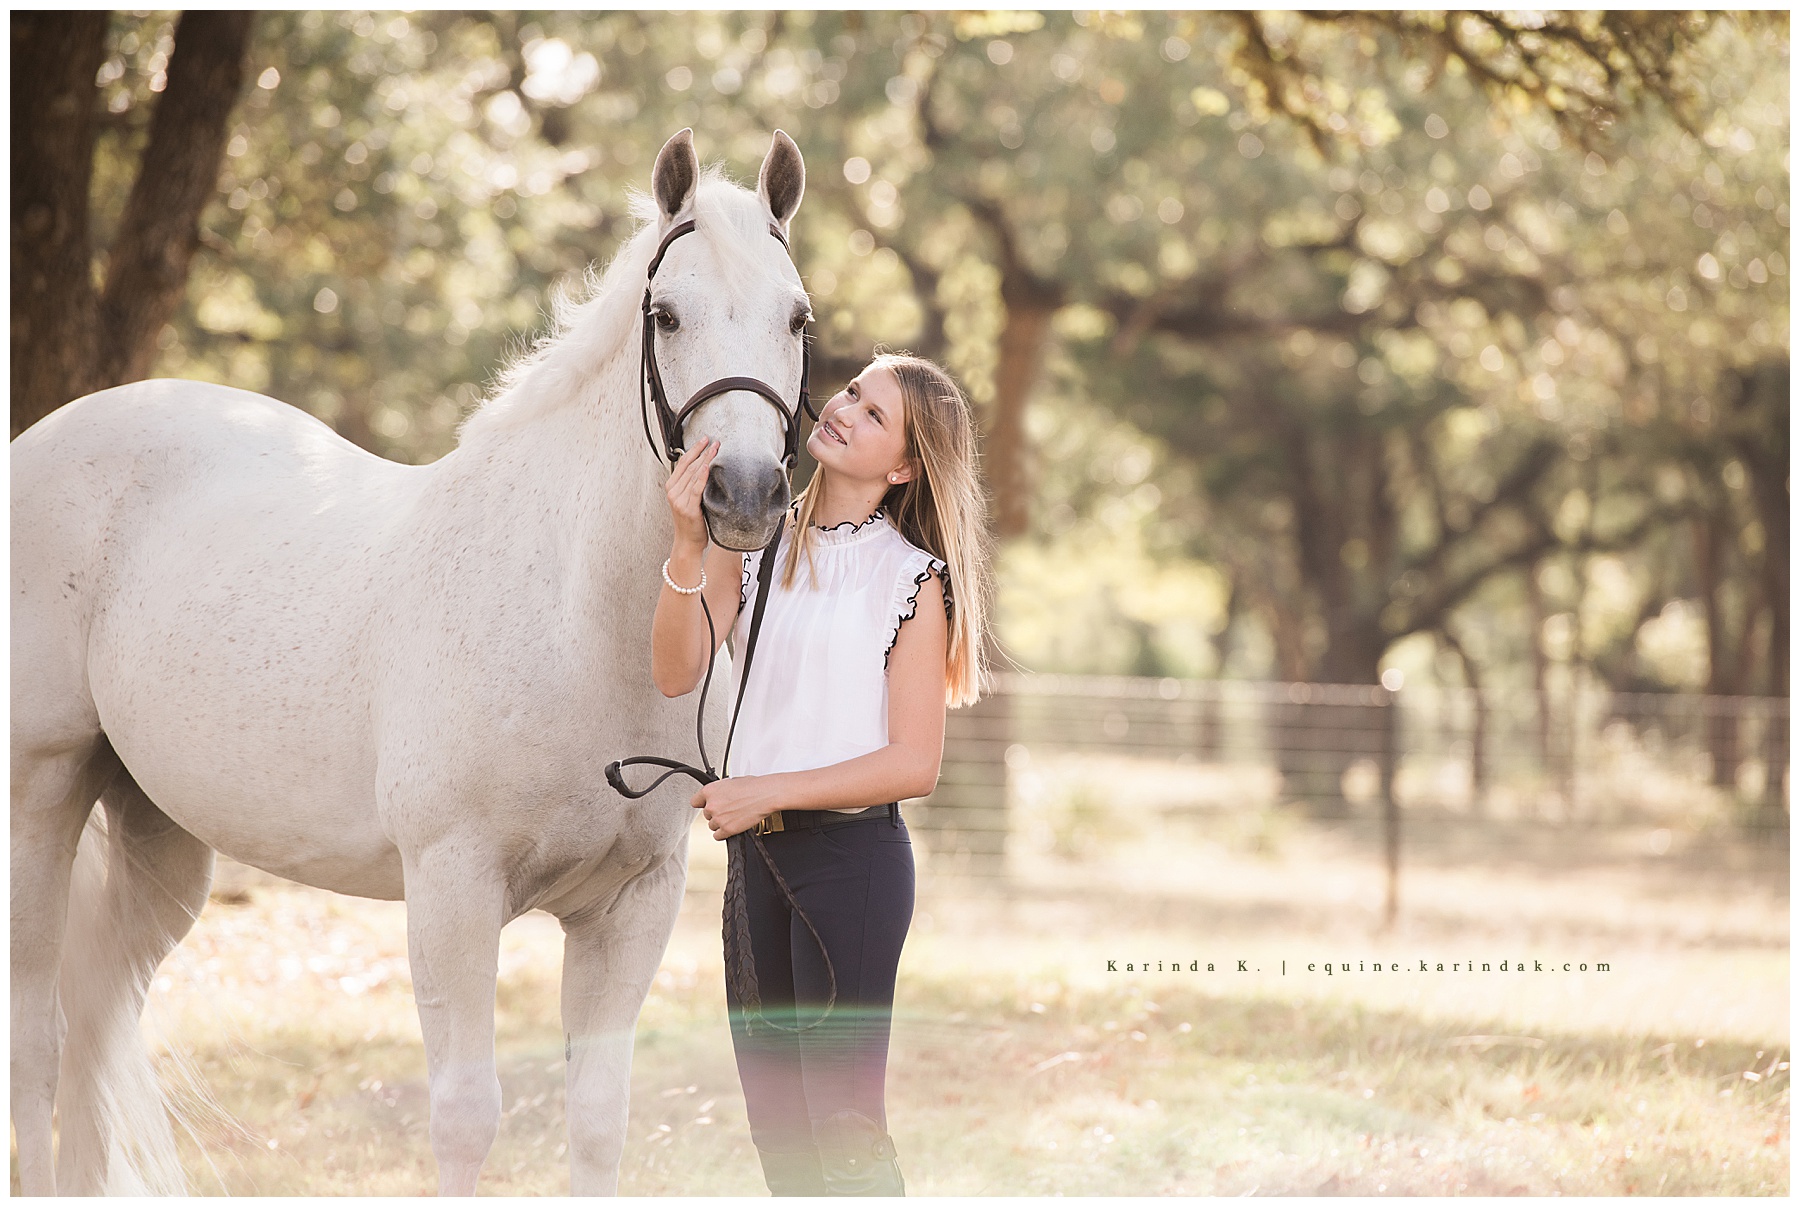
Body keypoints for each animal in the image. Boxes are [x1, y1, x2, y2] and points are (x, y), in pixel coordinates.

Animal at [10, 127, 812, 1195]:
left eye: (797, 317)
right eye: (667, 313)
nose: (747, 491)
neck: (575, 621)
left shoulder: (631, 907)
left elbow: (599, 1119)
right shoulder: (451, 891)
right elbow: (467, 1118)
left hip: (160, 833)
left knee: (96, 1023)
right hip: (43, 791)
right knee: (39, 1042)